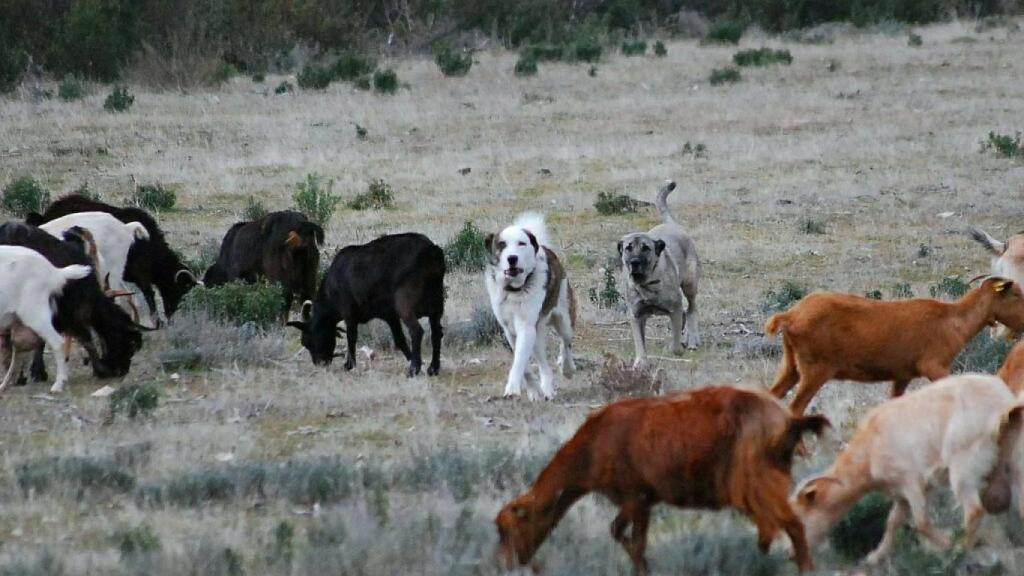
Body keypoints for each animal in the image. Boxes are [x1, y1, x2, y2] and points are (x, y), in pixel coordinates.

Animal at [0, 246, 91, 393]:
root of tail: (54, 272)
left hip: (35, 312)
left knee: (57, 342)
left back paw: (58, 385)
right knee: (19, 352)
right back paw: (4, 385)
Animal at [287, 233, 445, 376]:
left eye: (307, 341)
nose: (320, 363)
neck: (332, 287)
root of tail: (432, 250)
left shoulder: (349, 314)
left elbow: (351, 336)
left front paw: (349, 364)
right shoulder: (390, 316)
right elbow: (399, 339)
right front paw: (411, 358)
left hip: (405, 306)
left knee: (416, 331)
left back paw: (413, 369)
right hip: (437, 305)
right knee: (436, 333)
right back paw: (433, 368)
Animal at [496, 386, 829, 574]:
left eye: (511, 528)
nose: (508, 565)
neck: (593, 445)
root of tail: (787, 419)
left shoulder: (634, 496)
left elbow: (620, 533)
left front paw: (644, 567)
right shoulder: (644, 502)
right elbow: (634, 540)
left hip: (757, 481)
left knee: (793, 526)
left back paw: (804, 568)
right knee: (770, 529)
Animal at [766, 277, 1024, 415]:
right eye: (1016, 294)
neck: (952, 321)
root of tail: (790, 316)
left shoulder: (903, 375)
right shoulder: (934, 366)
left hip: (791, 366)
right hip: (815, 369)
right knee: (795, 408)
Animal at [792, 375, 1024, 564]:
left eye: (800, 519)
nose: (791, 555)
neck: (868, 452)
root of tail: (1003, 405)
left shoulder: (911, 481)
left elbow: (920, 522)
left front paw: (946, 544)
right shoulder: (902, 492)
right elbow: (893, 521)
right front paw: (876, 556)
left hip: (964, 463)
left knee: (974, 510)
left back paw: (961, 550)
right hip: (1014, 458)